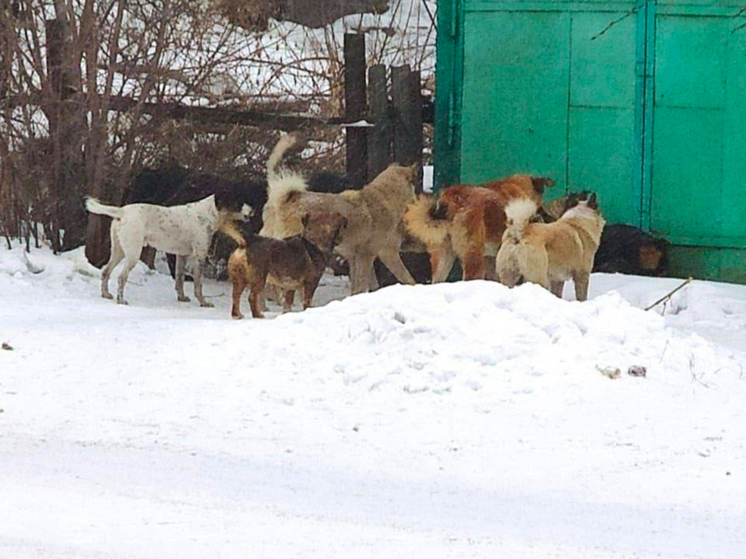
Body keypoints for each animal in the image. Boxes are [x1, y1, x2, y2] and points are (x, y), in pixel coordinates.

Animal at [262, 136, 416, 296]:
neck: (383, 198)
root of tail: (285, 198)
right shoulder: (373, 255)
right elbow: (402, 278)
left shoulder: (356, 258)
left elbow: (362, 286)